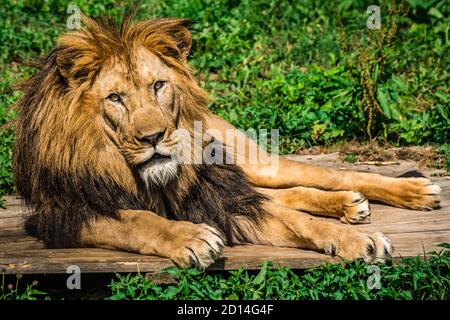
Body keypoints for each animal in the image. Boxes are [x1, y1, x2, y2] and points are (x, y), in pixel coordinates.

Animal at [12, 12, 442, 268]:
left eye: (158, 86)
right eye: (115, 98)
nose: (154, 137)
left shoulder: (221, 197)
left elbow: (297, 220)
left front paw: (358, 240)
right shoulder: (62, 212)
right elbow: (136, 220)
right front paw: (190, 236)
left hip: (249, 160)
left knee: (326, 177)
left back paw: (412, 192)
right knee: (286, 191)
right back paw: (349, 205)